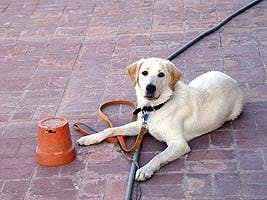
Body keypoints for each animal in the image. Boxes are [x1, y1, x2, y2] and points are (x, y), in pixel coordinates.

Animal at [78, 57, 245, 181]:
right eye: (144, 72)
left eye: (161, 75)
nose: (150, 88)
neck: (155, 108)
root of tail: (231, 79)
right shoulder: (140, 125)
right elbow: (111, 129)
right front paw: (90, 137)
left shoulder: (179, 144)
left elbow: (158, 156)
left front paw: (145, 169)